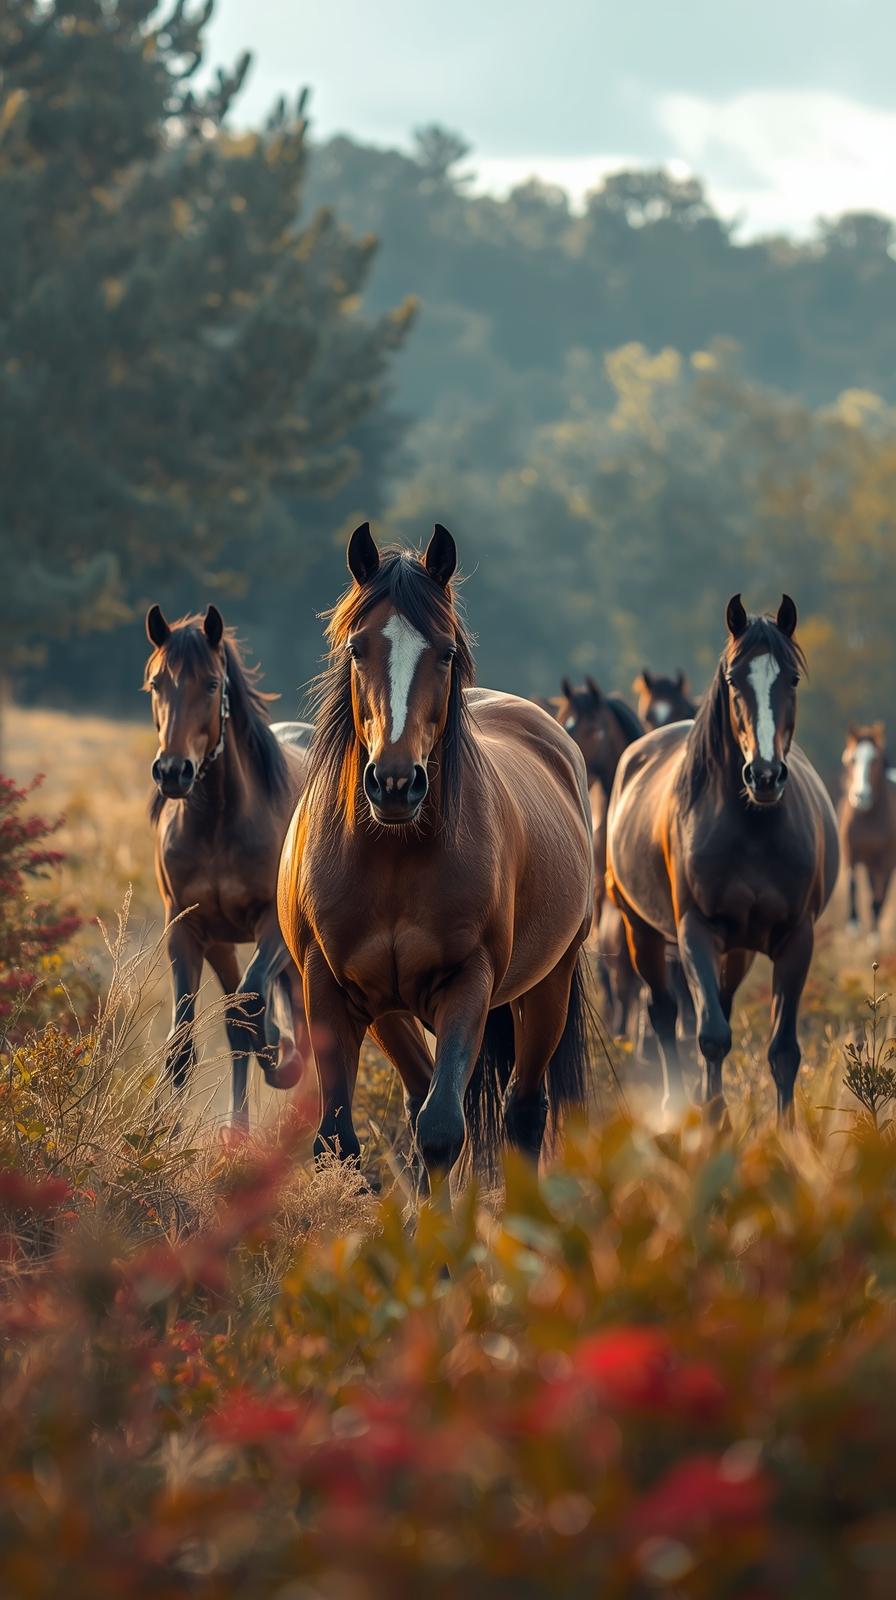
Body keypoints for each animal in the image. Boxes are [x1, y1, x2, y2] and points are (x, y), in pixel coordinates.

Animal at [145, 604, 314, 1130]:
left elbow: (251, 1005)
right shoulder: (188, 928)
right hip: (222, 943)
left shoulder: (272, 925)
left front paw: (278, 1062)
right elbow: (183, 1039)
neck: (219, 823)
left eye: (212, 684)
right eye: (157, 683)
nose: (172, 771)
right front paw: (161, 1130)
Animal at [277, 523, 597, 1185]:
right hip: (393, 1013)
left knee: (522, 1112)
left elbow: (444, 1131)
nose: (396, 784)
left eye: (445, 653)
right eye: (357, 649)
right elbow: (338, 1140)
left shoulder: (466, 984)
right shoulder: (332, 990)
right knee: (422, 1092)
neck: (393, 857)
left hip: (547, 986)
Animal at [607, 595, 838, 1121]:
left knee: (722, 1004)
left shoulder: (796, 938)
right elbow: (710, 1034)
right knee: (664, 1013)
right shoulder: (696, 929)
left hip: (738, 948)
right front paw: (713, 1117)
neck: (753, 828)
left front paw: (786, 1132)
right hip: (641, 930)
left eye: (792, 678)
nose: (765, 775)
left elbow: (783, 1050)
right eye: (734, 680)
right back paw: (674, 1101)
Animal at [839, 723, 896, 937]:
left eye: (875, 759)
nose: (861, 796)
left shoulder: (886, 861)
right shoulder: (849, 852)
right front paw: (854, 924)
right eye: (851, 759)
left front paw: (874, 936)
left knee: (880, 894)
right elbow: (852, 883)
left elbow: (879, 898)